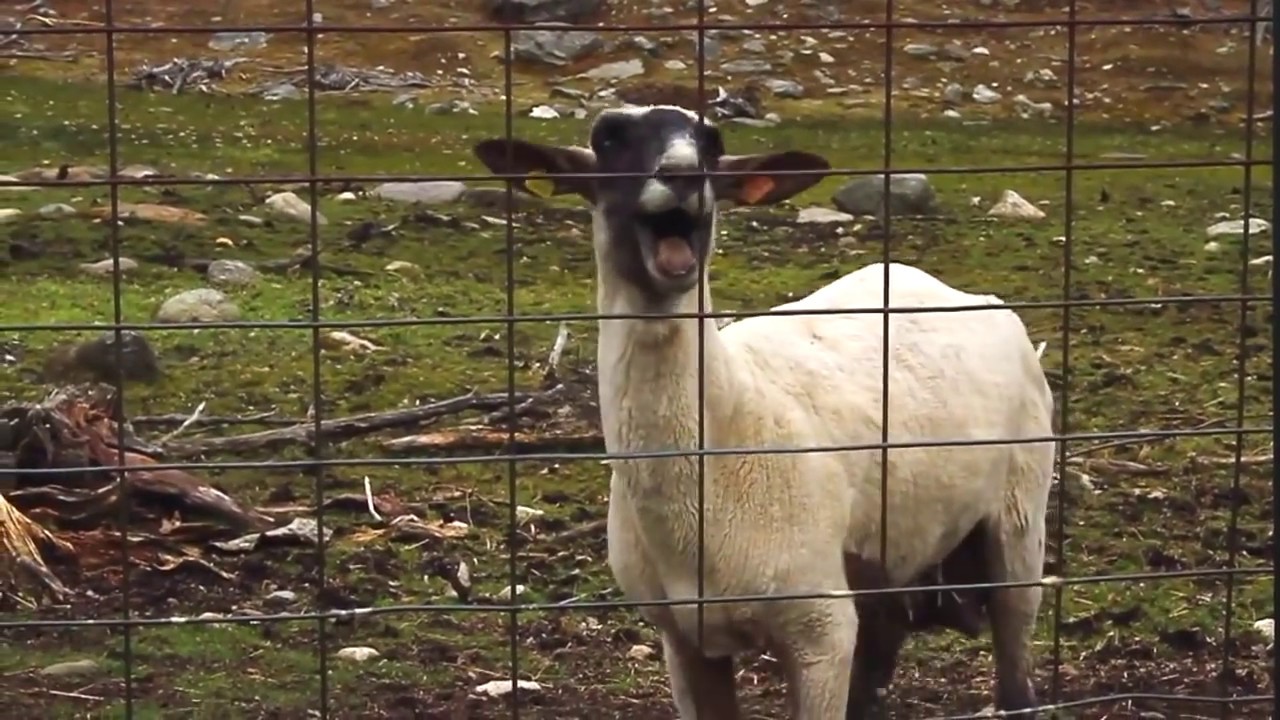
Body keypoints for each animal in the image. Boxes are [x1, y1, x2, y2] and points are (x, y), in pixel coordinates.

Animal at [472, 105, 1056, 719]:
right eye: (608, 137)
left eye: (711, 141)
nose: (683, 175)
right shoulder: (684, 640)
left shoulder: (820, 628)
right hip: (888, 565)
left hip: (1018, 520)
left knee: (1015, 667)